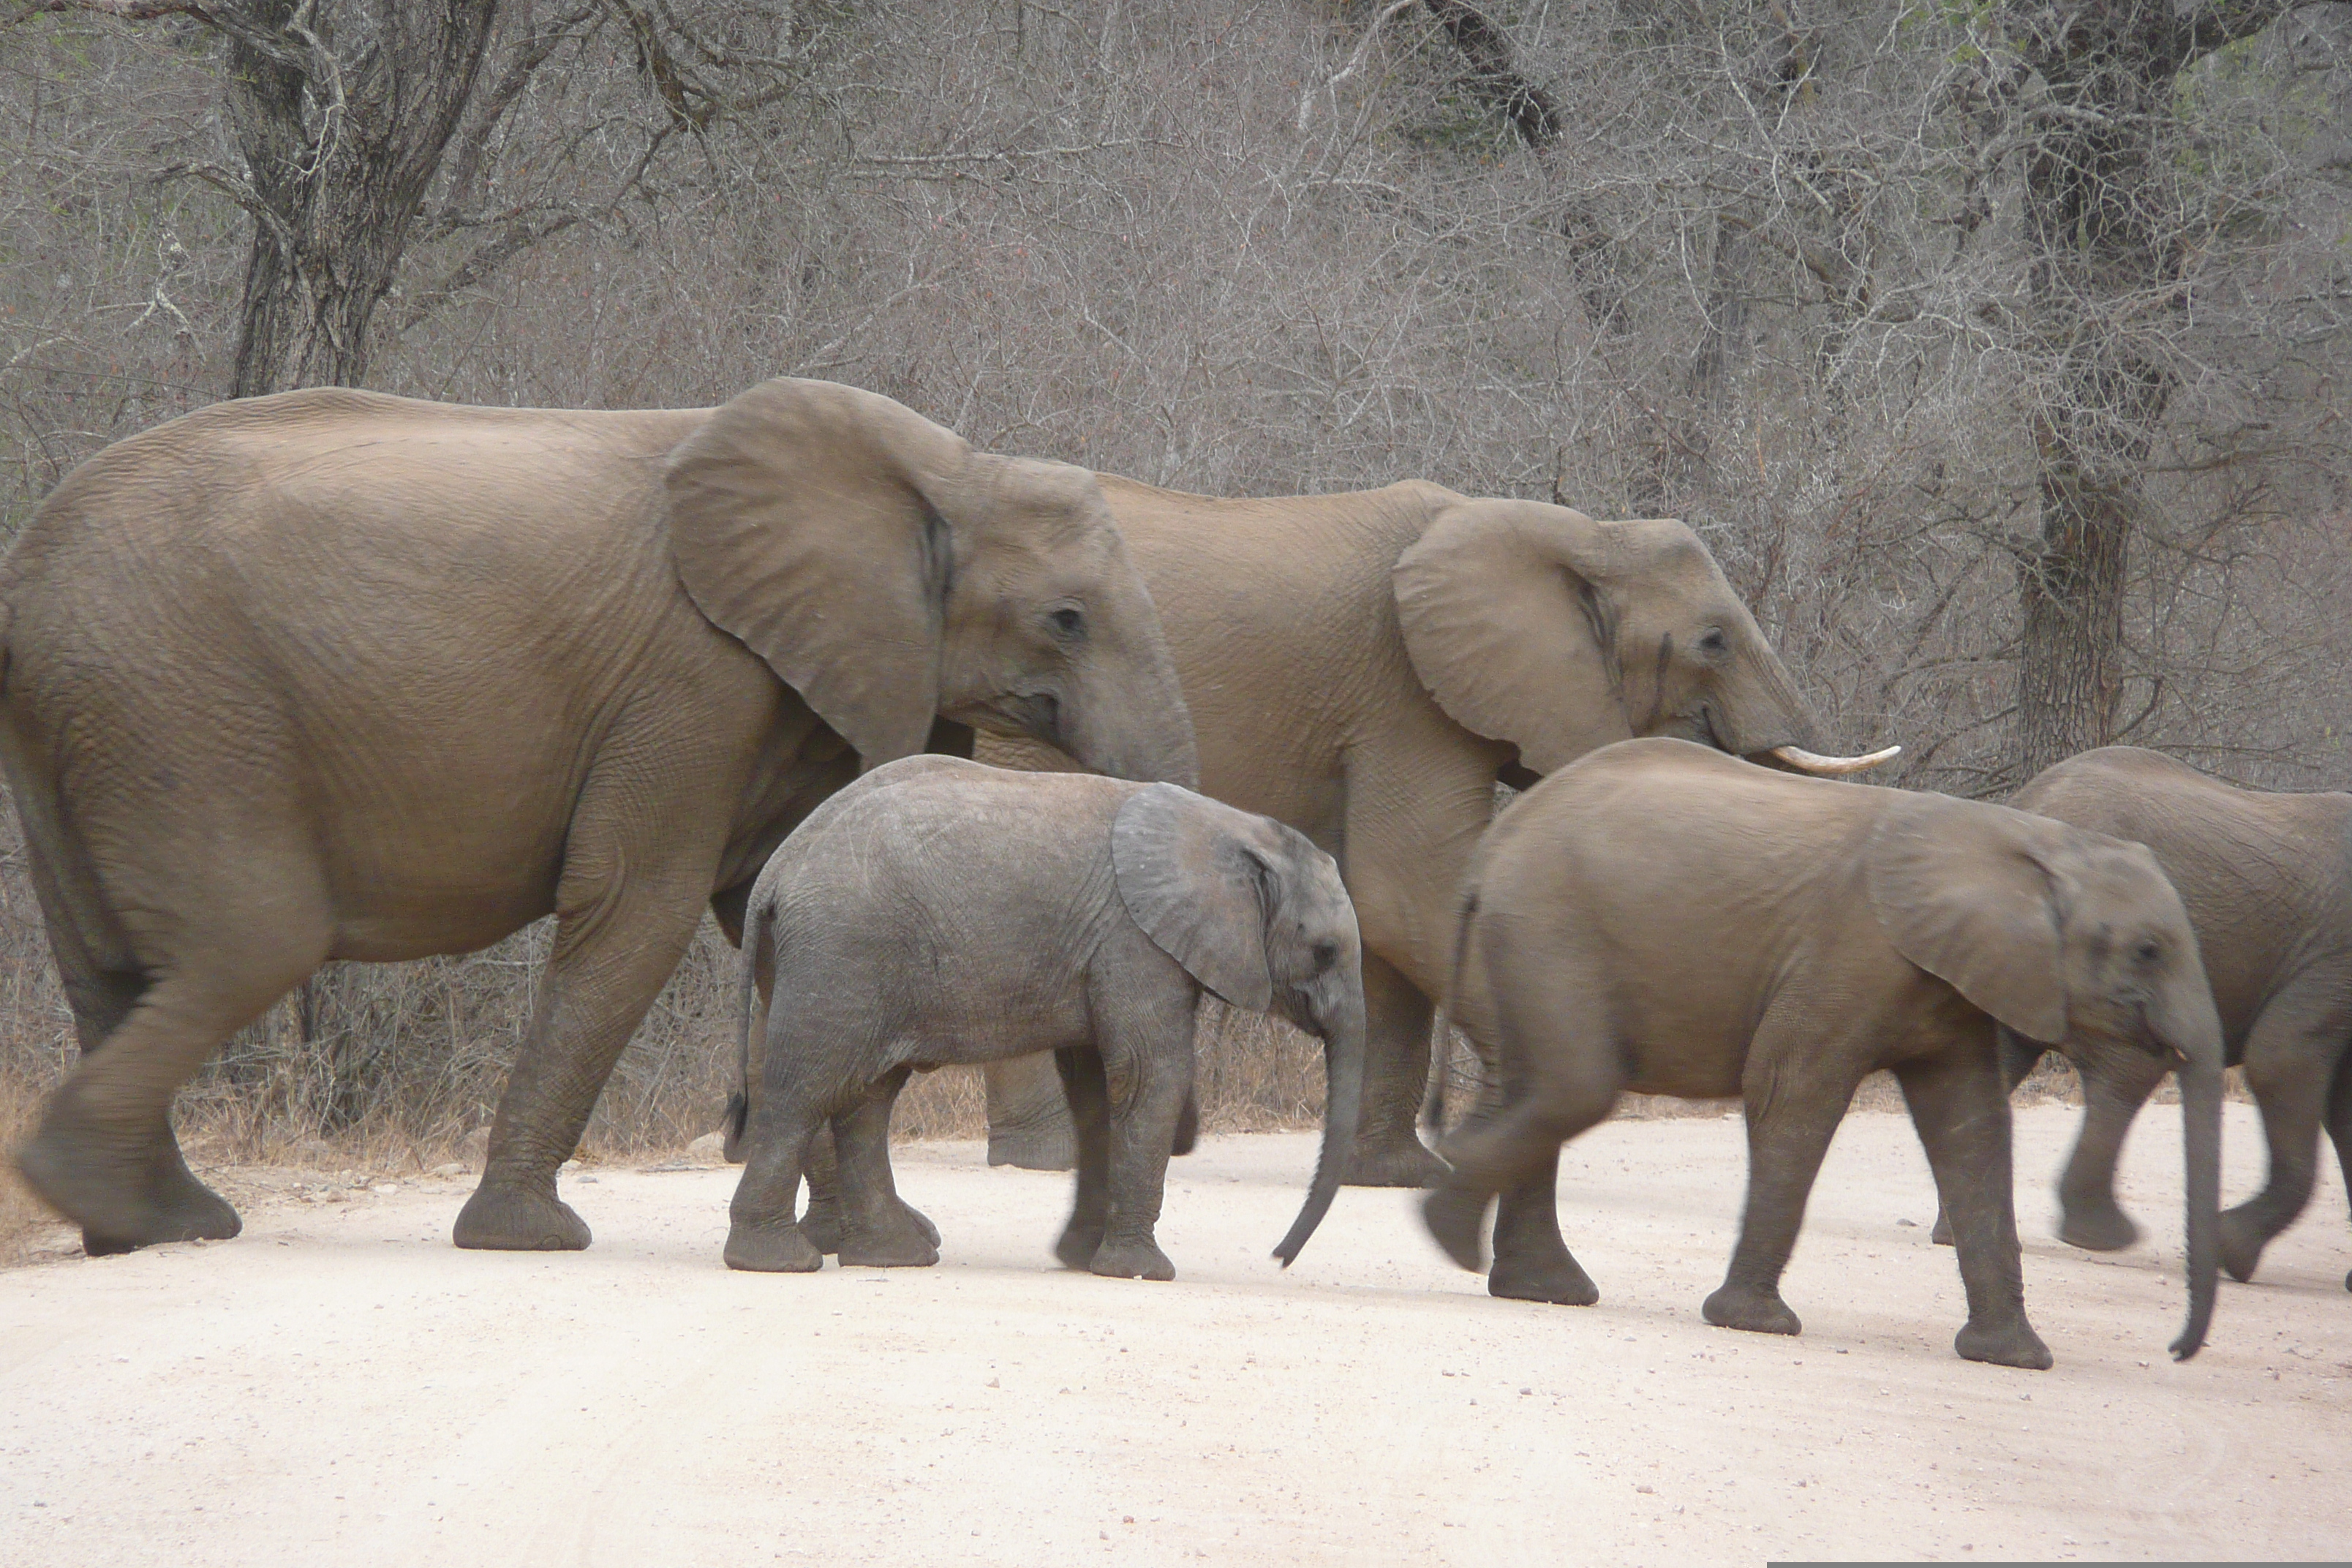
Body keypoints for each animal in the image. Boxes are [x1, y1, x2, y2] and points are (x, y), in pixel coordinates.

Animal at [4, 374, 1194, 1259]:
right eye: (1068, 620)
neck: (942, 463)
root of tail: (25, 578)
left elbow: (763, 916)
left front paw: (868, 1243)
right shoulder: (692, 675)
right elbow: (639, 911)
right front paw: (529, 1236)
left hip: (87, 722)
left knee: (110, 964)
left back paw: (144, 1224)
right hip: (178, 708)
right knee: (251, 943)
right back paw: (112, 1201)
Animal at [724, 752, 1373, 1278]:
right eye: (1325, 951)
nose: (1278, 1257)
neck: (1232, 825)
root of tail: (775, 874)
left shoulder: (1107, 949)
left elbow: (1096, 1087)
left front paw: (1081, 1260)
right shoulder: (1136, 943)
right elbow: (1147, 1076)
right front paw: (1141, 1273)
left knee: (866, 1100)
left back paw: (892, 1257)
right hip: (845, 954)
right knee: (807, 1091)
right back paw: (778, 1263)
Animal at [973, 484, 1891, 1185]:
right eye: (1713, 640)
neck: (1576, 532)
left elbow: (1382, 923)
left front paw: (1393, 1174)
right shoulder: (1404, 694)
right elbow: (1409, 894)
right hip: (1040, 714)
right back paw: (1052, 1160)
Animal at [1411, 742, 2220, 1363]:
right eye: (2148, 950)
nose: (2177, 1352)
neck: (2028, 839)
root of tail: (1489, 853)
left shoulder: (1954, 979)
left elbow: (1972, 1126)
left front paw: (2016, 1357)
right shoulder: (1849, 954)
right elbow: (1793, 1090)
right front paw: (1756, 1324)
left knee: (1533, 1086)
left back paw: (1534, 1283)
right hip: (1545, 928)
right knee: (1574, 1084)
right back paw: (1451, 1228)